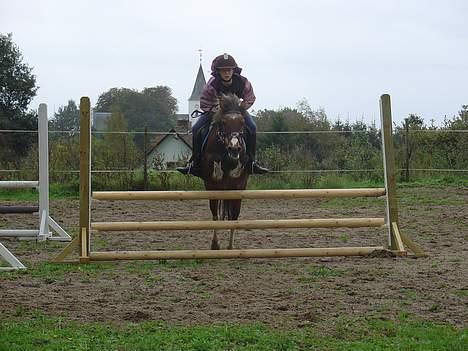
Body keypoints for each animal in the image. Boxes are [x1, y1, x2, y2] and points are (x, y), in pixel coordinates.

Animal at [201, 92, 252, 249]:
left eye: (242, 122)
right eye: (223, 122)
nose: (234, 148)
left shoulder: (239, 182)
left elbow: (242, 163)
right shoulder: (211, 180)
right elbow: (215, 163)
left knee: (234, 216)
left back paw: (230, 247)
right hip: (213, 190)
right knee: (215, 214)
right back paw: (216, 245)